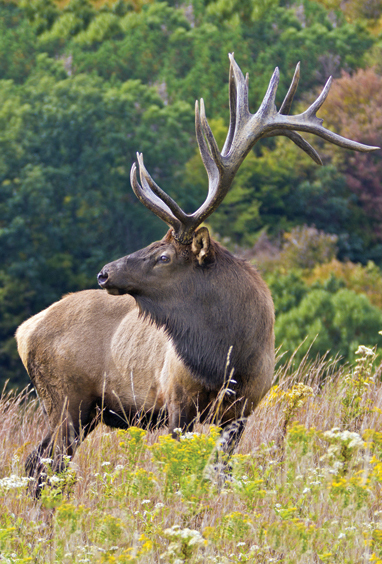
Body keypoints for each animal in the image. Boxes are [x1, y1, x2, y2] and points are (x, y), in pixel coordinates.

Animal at [17, 51, 376, 490]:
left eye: (164, 257)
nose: (104, 273)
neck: (228, 355)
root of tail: (24, 331)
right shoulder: (176, 400)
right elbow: (182, 469)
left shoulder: (243, 409)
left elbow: (219, 473)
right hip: (65, 400)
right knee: (43, 463)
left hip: (82, 411)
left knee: (39, 461)